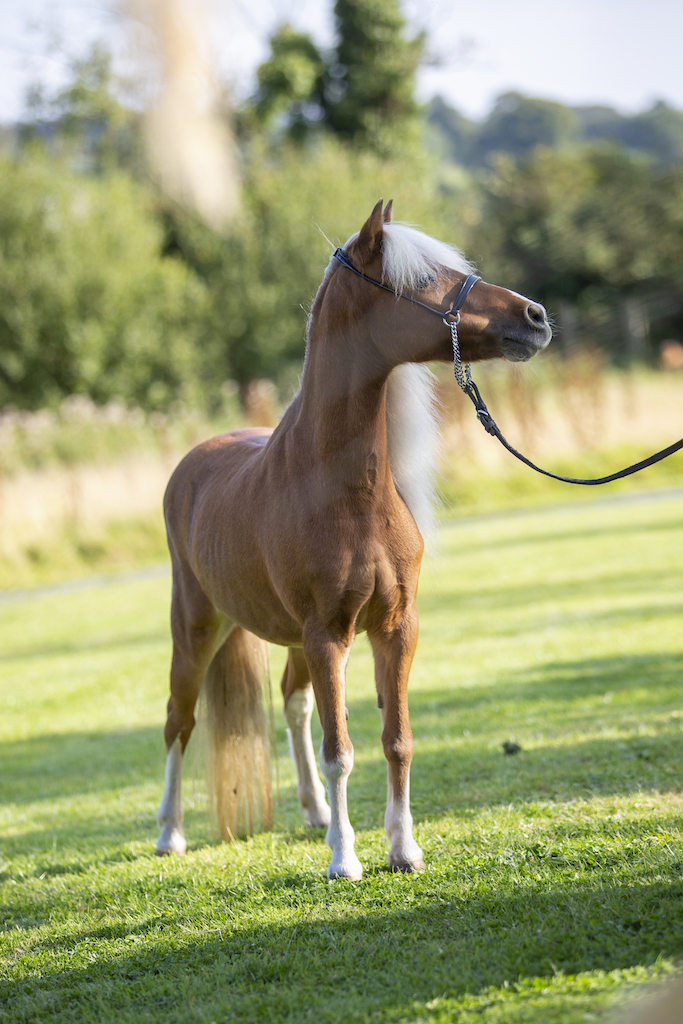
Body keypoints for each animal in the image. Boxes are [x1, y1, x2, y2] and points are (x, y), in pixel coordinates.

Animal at [156, 198, 552, 879]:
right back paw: (170, 834)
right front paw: (345, 859)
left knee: (292, 704)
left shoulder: (395, 628)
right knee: (180, 720)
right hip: (199, 628)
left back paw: (314, 813)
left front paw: (402, 849)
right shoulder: (329, 635)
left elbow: (397, 740)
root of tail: (194, 462)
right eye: (426, 277)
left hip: (286, 638)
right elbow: (340, 748)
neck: (346, 492)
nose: (535, 317)